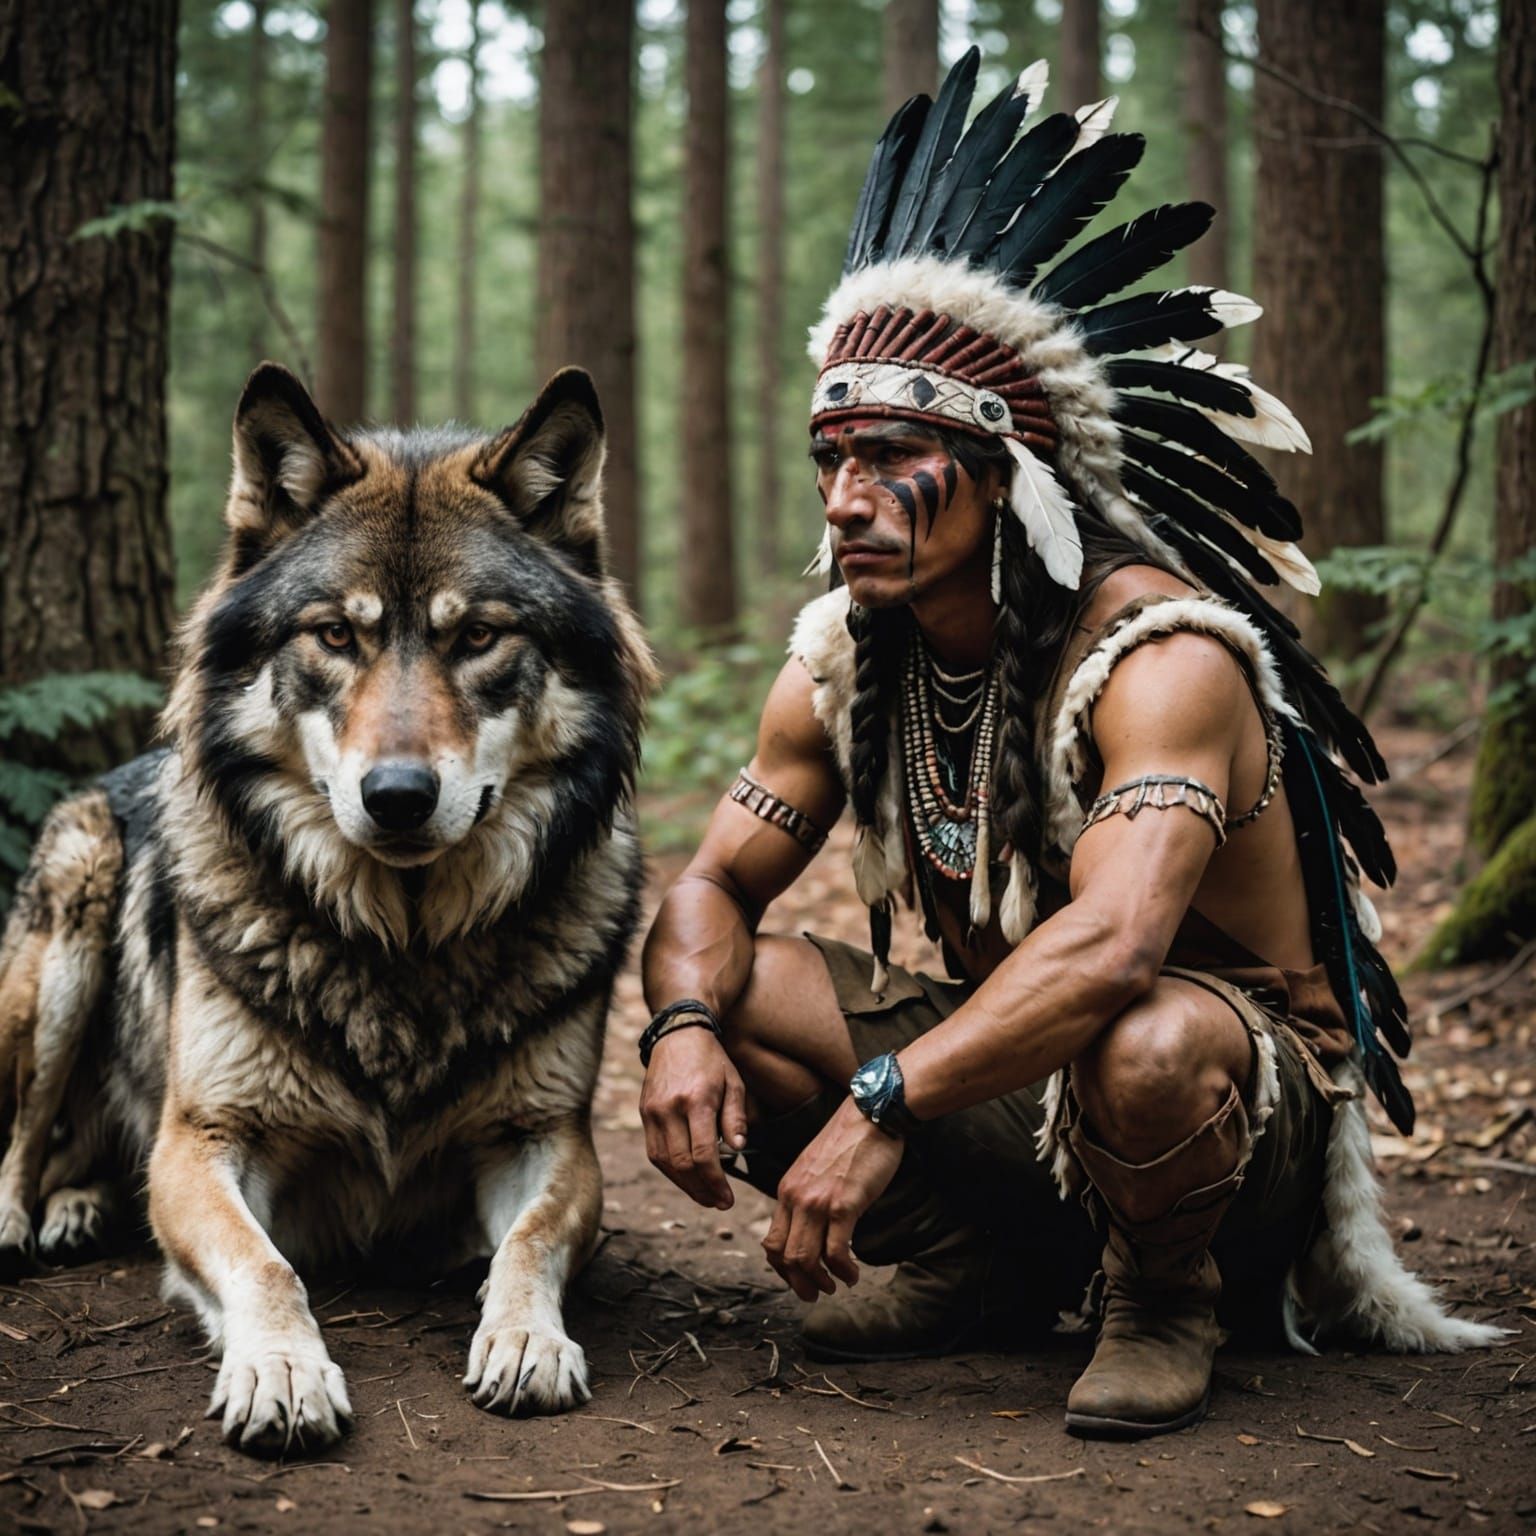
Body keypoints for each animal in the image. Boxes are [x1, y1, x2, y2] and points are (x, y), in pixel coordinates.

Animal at [0, 363, 656, 1455]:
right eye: (337, 635)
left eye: (478, 636)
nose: (398, 796)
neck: (401, 945)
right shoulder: (202, 1139)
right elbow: (265, 1263)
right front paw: (280, 1368)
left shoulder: (548, 1137)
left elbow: (527, 1242)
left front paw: (526, 1337)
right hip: (66, 940)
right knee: (22, 1142)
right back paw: (28, 1222)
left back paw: (80, 1206)